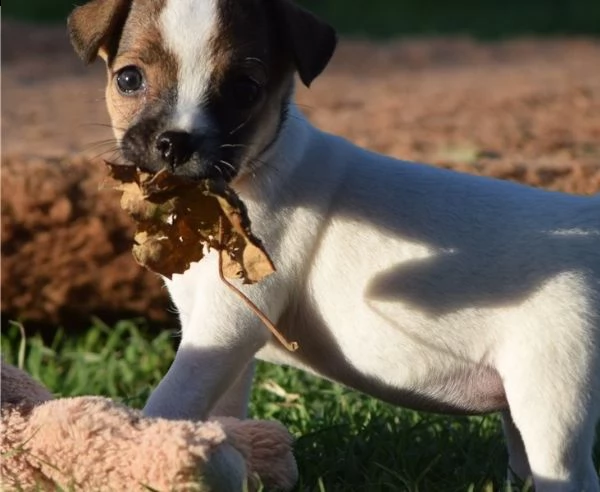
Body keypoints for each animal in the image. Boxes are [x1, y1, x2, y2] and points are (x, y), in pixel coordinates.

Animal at [67, 1, 600, 490]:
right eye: (129, 79)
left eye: (244, 90)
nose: (175, 143)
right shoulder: (222, 341)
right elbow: (222, 410)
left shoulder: (226, 324)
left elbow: (172, 398)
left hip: (555, 395)